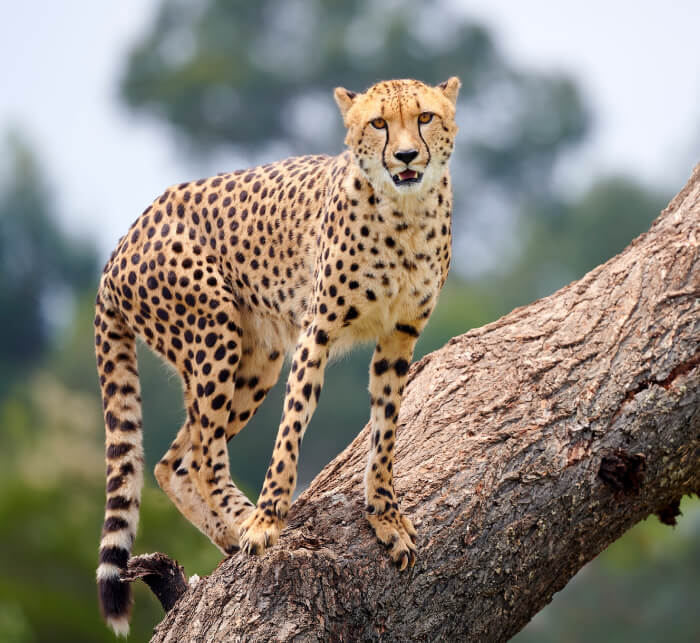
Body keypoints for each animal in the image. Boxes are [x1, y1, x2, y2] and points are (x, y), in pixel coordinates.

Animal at [94, 76, 460, 636]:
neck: (405, 212)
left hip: (256, 358)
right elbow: (291, 432)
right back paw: (246, 519)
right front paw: (268, 520)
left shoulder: (399, 336)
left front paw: (385, 516)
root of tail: (122, 242)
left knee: (172, 462)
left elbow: (386, 432)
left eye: (424, 117)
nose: (405, 156)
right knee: (203, 455)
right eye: (378, 123)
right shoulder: (316, 331)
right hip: (213, 332)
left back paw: (228, 533)